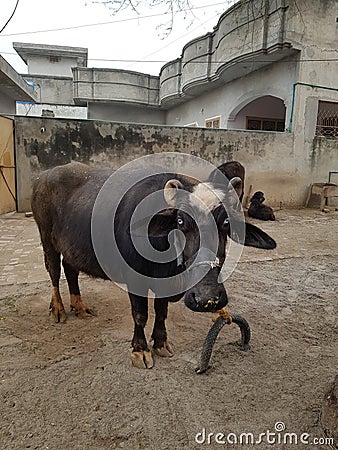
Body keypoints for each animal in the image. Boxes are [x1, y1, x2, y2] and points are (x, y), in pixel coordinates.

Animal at [31, 162, 274, 370]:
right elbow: (140, 314)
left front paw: (160, 343)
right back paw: (58, 309)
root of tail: (44, 176)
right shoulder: (134, 279)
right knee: (53, 269)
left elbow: (161, 311)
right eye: (180, 222)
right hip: (46, 236)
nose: (207, 298)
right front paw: (140, 350)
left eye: (225, 223)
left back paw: (80, 307)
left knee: (70, 268)